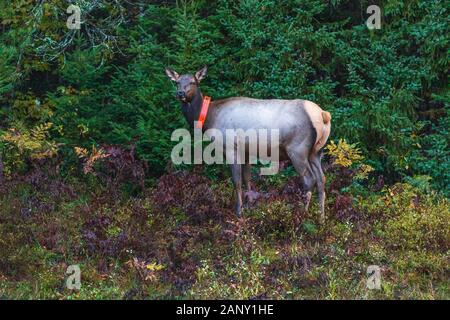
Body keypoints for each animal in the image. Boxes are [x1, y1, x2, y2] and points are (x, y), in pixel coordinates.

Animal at [165, 66, 330, 221]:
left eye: (193, 82)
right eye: (177, 82)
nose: (180, 93)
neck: (210, 118)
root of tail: (323, 115)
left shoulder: (231, 147)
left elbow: (236, 180)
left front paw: (239, 212)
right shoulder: (246, 151)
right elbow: (247, 178)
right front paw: (250, 206)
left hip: (297, 149)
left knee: (309, 179)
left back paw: (303, 215)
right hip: (316, 151)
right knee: (321, 179)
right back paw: (321, 218)